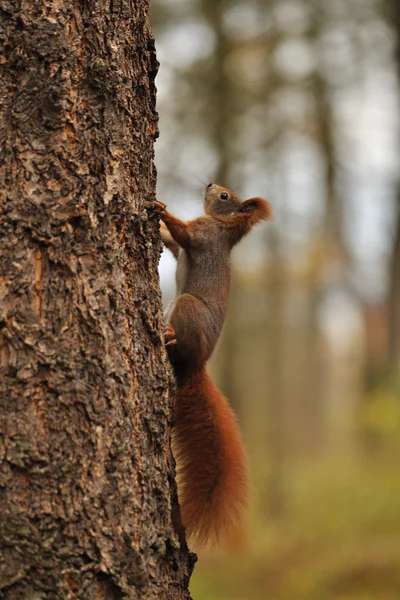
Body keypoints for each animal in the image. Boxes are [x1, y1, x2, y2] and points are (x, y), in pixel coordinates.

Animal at [153, 184, 272, 548]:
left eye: (224, 197)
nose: (209, 186)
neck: (224, 227)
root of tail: (197, 366)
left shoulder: (204, 236)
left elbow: (184, 234)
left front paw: (161, 210)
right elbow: (174, 245)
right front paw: (158, 226)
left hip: (187, 306)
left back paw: (169, 337)